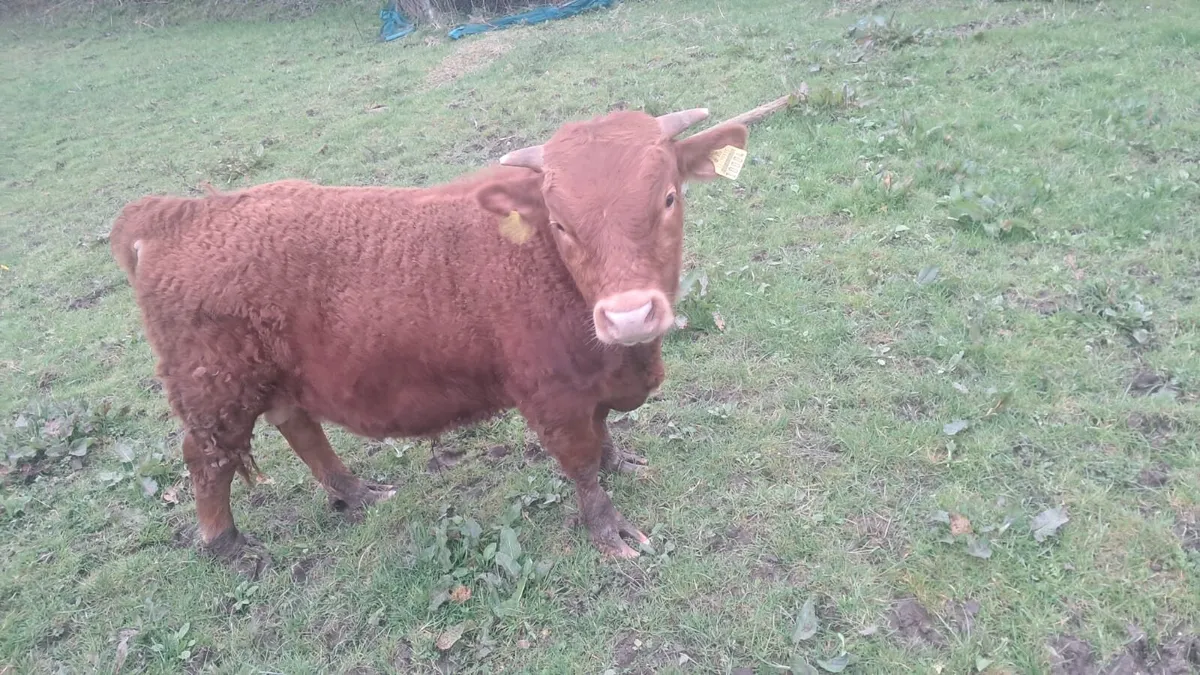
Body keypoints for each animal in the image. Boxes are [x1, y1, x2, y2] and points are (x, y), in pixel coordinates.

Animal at [109, 107, 749, 574]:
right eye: (562, 223)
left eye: (668, 198)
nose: (629, 315)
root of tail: (183, 212)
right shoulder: (551, 396)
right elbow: (582, 463)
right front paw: (609, 529)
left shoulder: (590, 387)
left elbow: (605, 432)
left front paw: (623, 462)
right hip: (215, 388)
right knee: (207, 458)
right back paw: (227, 544)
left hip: (274, 376)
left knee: (300, 427)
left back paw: (357, 492)